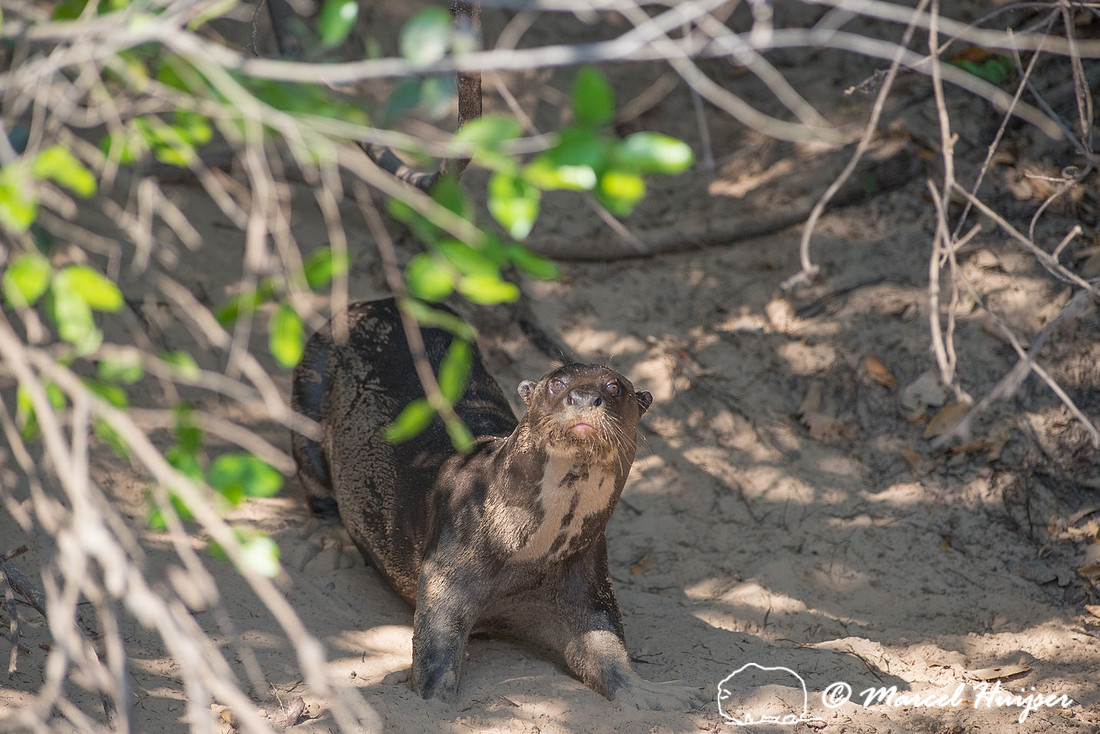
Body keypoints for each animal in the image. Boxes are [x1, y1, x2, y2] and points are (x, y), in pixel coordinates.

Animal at [291, 298, 697, 709]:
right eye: (557, 383)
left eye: (615, 387)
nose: (583, 398)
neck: (529, 553)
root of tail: (372, 302)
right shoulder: (446, 570)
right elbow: (436, 647)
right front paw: (434, 700)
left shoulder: (588, 581)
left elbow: (604, 648)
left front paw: (652, 693)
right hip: (311, 389)